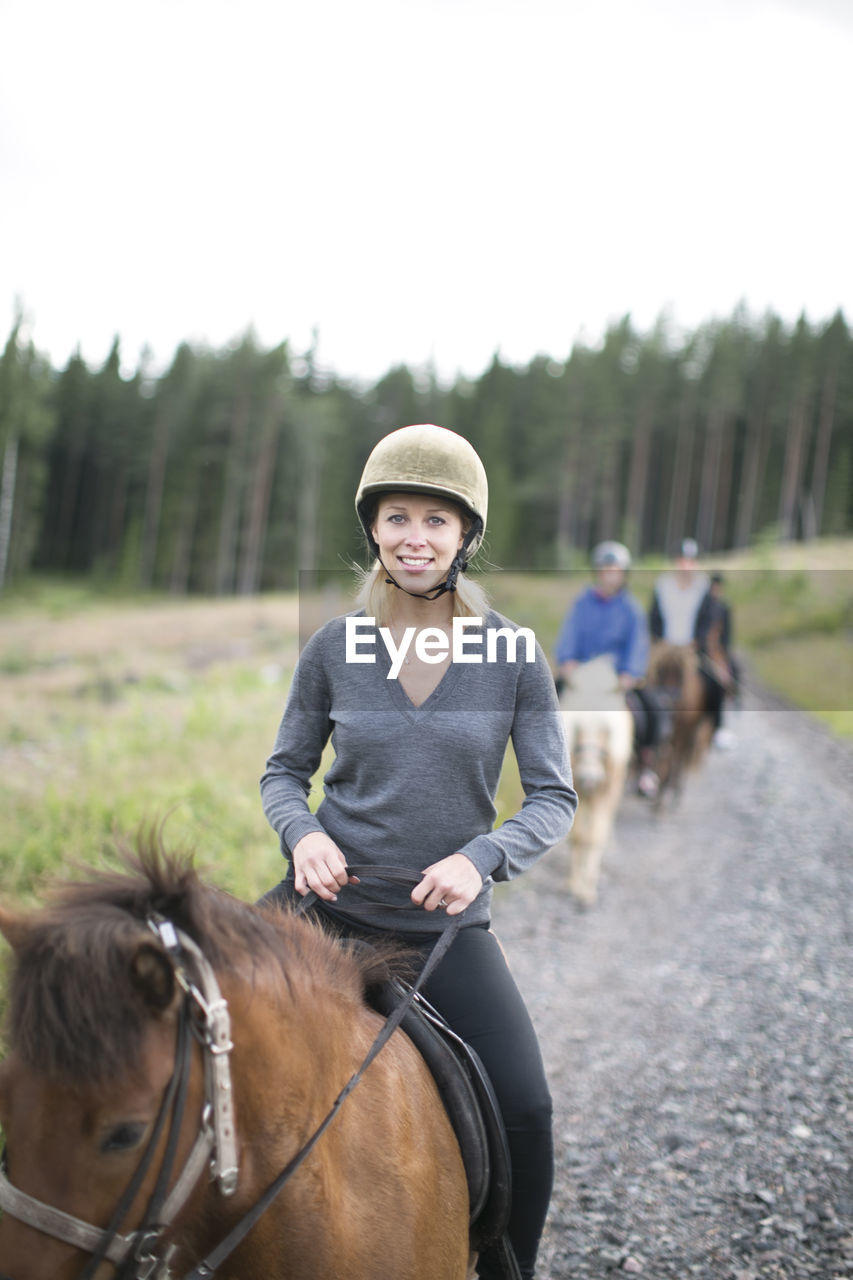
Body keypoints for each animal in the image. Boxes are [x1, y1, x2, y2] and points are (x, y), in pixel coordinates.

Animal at [558, 655, 630, 906]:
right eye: (578, 728)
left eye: (606, 731)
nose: (589, 777)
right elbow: (579, 838)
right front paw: (574, 884)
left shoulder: (605, 794)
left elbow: (594, 838)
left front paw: (587, 890)